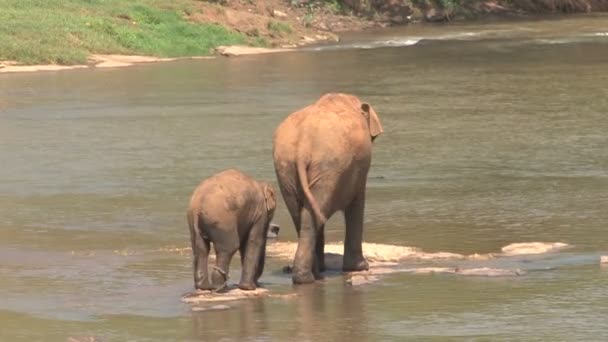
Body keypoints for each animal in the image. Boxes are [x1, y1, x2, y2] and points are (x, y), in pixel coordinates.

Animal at [274, 92, 382, 284]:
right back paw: (309, 278)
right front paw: (361, 267)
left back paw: (312, 275)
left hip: (286, 169)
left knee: (302, 216)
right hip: (329, 167)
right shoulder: (359, 167)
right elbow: (357, 201)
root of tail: (303, 144)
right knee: (314, 215)